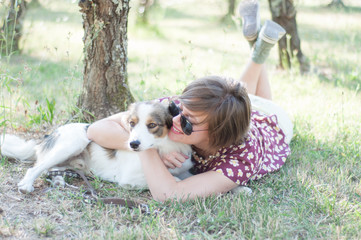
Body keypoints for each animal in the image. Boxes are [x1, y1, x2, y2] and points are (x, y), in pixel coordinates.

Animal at [0, 101, 194, 193]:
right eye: (131, 123)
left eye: (152, 125)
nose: (133, 144)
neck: (165, 147)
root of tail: (49, 134)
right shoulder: (129, 178)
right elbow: (176, 180)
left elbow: (184, 176)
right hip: (74, 142)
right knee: (35, 169)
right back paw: (26, 185)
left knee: (51, 169)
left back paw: (59, 180)